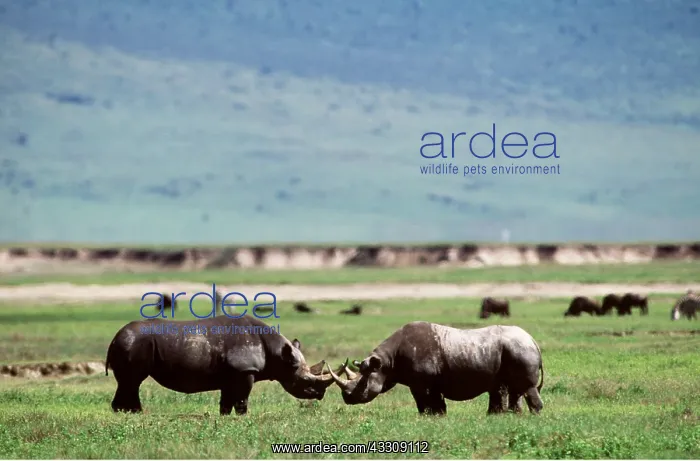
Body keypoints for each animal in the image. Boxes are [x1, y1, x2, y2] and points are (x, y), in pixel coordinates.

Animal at [105, 315, 340, 415]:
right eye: (305, 381)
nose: (320, 395)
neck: (279, 354)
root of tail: (115, 337)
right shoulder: (245, 370)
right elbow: (242, 398)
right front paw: (243, 417)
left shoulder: (233, 374)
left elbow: (226, 401)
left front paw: (226, 417)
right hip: (133, 344)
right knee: (132, 381)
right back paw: (134, 414)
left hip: (131, 343)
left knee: (129, 382)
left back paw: (128, 413)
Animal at [326, 322, 544, 415]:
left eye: (362, 384)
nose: (347, 398)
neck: (386, 363)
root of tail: (533, 340)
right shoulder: (427, 382)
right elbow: (431, 403)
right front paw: (435, 417)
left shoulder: (423, 382)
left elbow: (425, 401)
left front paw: (430, 417)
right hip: (512, 350)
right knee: (510, 388)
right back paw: (509, 416)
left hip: (519, 350)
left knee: (525, 387)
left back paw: (533, 416)